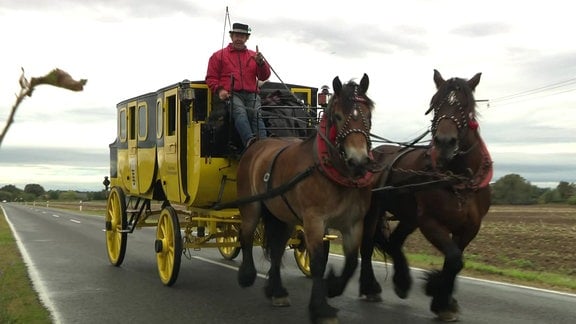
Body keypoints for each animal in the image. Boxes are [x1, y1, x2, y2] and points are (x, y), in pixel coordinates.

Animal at [236, 74, 376, 324]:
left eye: (368, 116)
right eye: (338, 116)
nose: (359, 161)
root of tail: (257, 144)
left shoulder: (354, 223)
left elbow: (352, 261)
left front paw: (333, 287)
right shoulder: (314, 220)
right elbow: (318, 262)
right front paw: (320, 308)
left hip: (283, 215)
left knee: (277, 247)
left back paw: (277, 291)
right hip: (251, 205)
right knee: (246, 235)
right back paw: (247, 275)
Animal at [360, 70, 490, 322]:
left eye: (465, 106)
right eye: (435, 104)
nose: (445, 142)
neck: (459, 179)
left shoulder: (469, 227)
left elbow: (455, 261)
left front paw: (443, 298)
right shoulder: (430, 222)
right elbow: (454, 259)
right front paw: (439, 297)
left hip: (408, 216)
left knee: (393, 242)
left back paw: (401, 281)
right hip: (373, 211)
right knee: (367, 245)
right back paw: (370, 287)